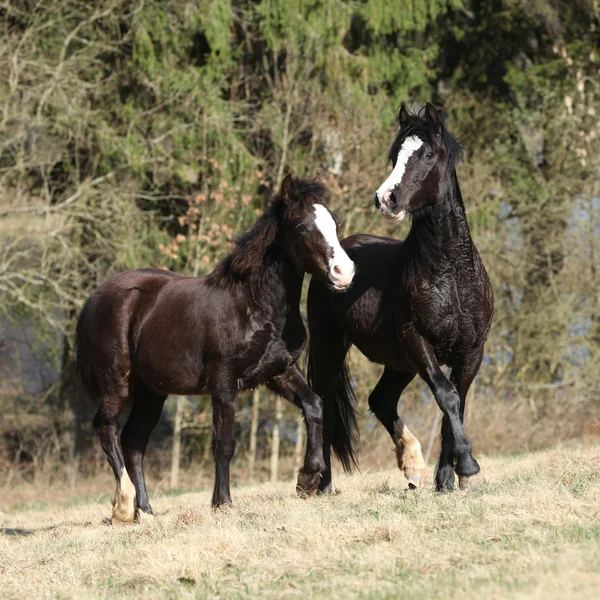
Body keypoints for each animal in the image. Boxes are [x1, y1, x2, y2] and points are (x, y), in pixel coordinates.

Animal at [77, 173, 354, 520]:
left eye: (335, 222)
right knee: (107, 429)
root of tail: (93, 300)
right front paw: (222, 501)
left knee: (133, 441)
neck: (255, 306)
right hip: (117, 383)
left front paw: (307, 479)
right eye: (303, 227)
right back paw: (125, 507)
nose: (345, 273)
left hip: (152, 392)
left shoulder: (279, 372)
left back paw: (147, 511)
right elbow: (224, 443)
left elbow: (314, 405)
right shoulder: (224, 384)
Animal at [308, 103, 494, 494]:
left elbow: (456, 405)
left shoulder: (471, 351)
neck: (451, 277)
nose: (385, 198)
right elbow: (446, 396)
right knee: (326, 407)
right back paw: (324, 485)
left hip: (398, 363)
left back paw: (413, 466)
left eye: (426, 155)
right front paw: (469, 468)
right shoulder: (417, 342)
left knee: (380, 400)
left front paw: (447, 479)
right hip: (330, 347)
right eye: (395, 156)